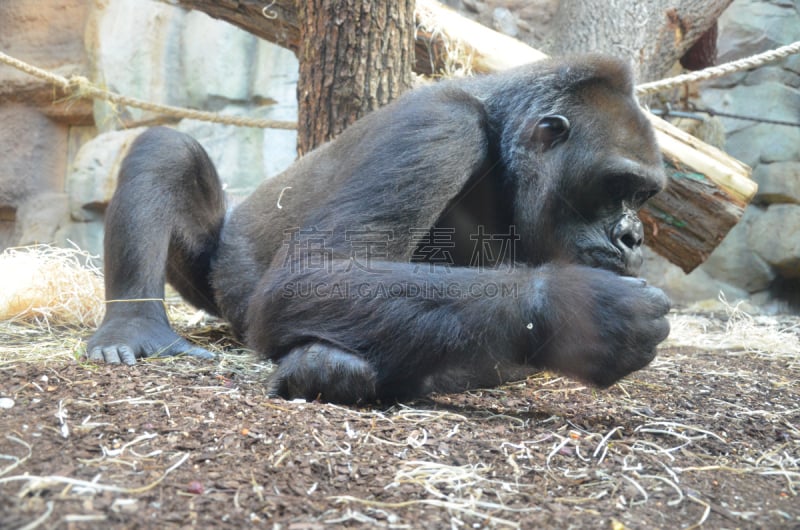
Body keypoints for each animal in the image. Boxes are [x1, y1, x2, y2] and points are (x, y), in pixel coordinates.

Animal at [86, 53, 668, 402]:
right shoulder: (438, 126)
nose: (632, 237)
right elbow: (310, 274)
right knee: (169, 149)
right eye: (616, 186)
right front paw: (581, 309)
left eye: (643, 196)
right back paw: (134, 328)